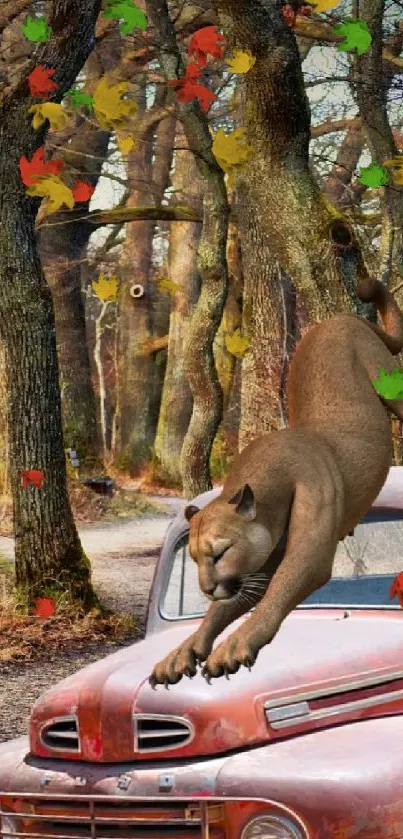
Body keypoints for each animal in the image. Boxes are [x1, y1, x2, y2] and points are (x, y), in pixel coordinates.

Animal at [150, 278, 403, 684]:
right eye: (194, 558)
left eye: (220, 552)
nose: (207, 588)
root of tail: (342, 318)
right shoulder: (261, 561)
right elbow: (225, 608)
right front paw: (183, 651)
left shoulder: (307, 552)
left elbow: (281, 589)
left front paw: (235, 646)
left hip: (390, 385)